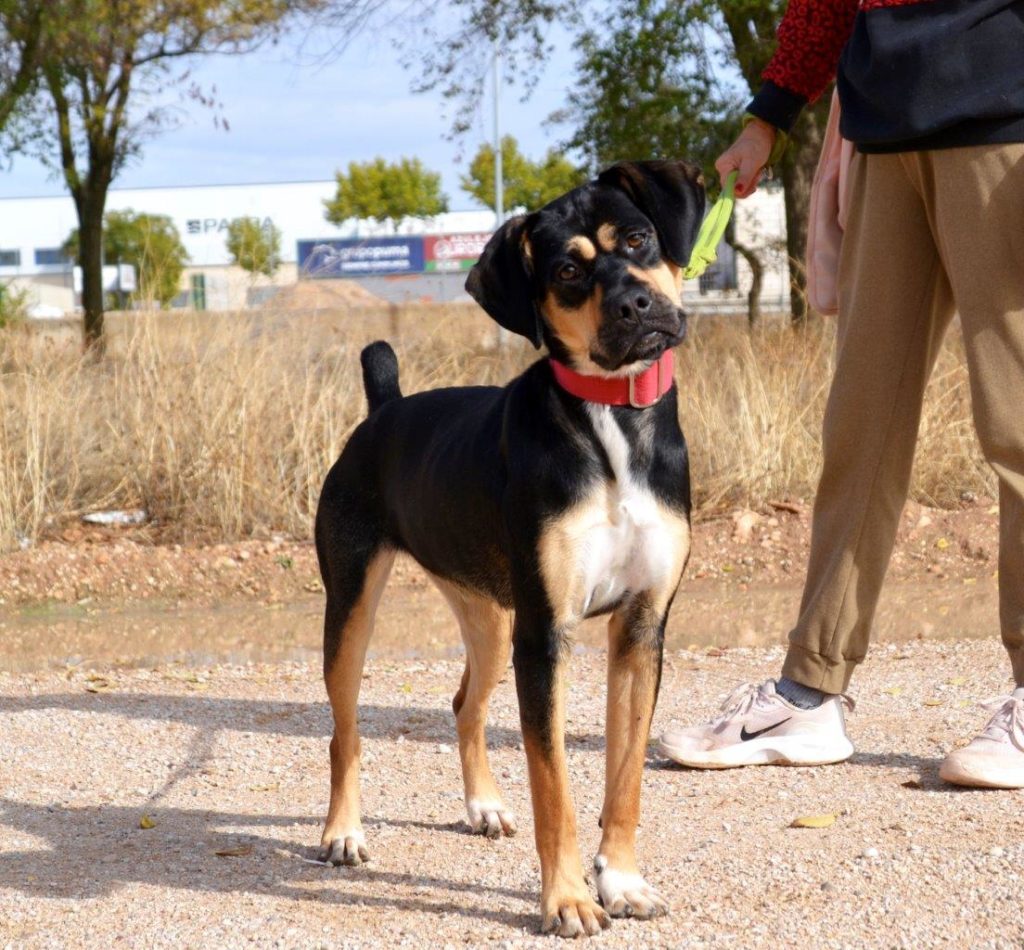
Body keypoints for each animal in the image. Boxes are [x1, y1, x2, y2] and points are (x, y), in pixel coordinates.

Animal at [313, 161, 704, 933]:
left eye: (638, 238)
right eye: (566, 272)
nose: (634, 305)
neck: (611, 418)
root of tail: (383, 411)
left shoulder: (640, 626)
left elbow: (625, 778)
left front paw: (621, 880)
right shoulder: (546, 636)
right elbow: (555, 786)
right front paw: (570, 899)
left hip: (492, 621)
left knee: (465, 705)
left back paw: (485, 806)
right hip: (353, 607)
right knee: (345, 731)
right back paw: (343, 832)